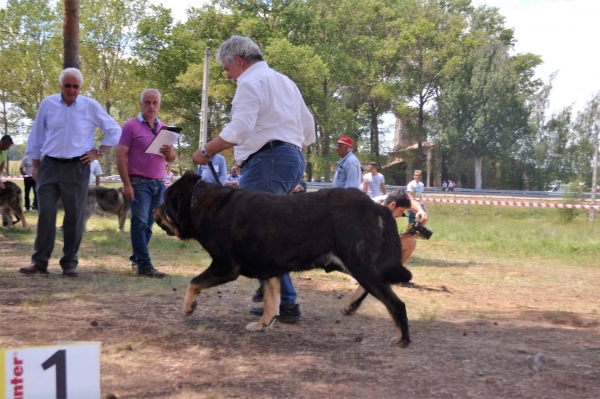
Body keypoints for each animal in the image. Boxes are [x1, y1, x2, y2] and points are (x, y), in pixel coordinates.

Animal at [156, 173, 412, 348]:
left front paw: (188, 307)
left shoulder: (225, 266)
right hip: (350, 262)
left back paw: (402, 339)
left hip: (357, 261)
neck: (200, 205)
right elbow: (271, 304)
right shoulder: (271, 271)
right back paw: (351, 305)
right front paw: (262, 325)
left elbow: (193, 283)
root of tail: (375, 206)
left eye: (165, 201)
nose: (154, 212)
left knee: (395, 303)